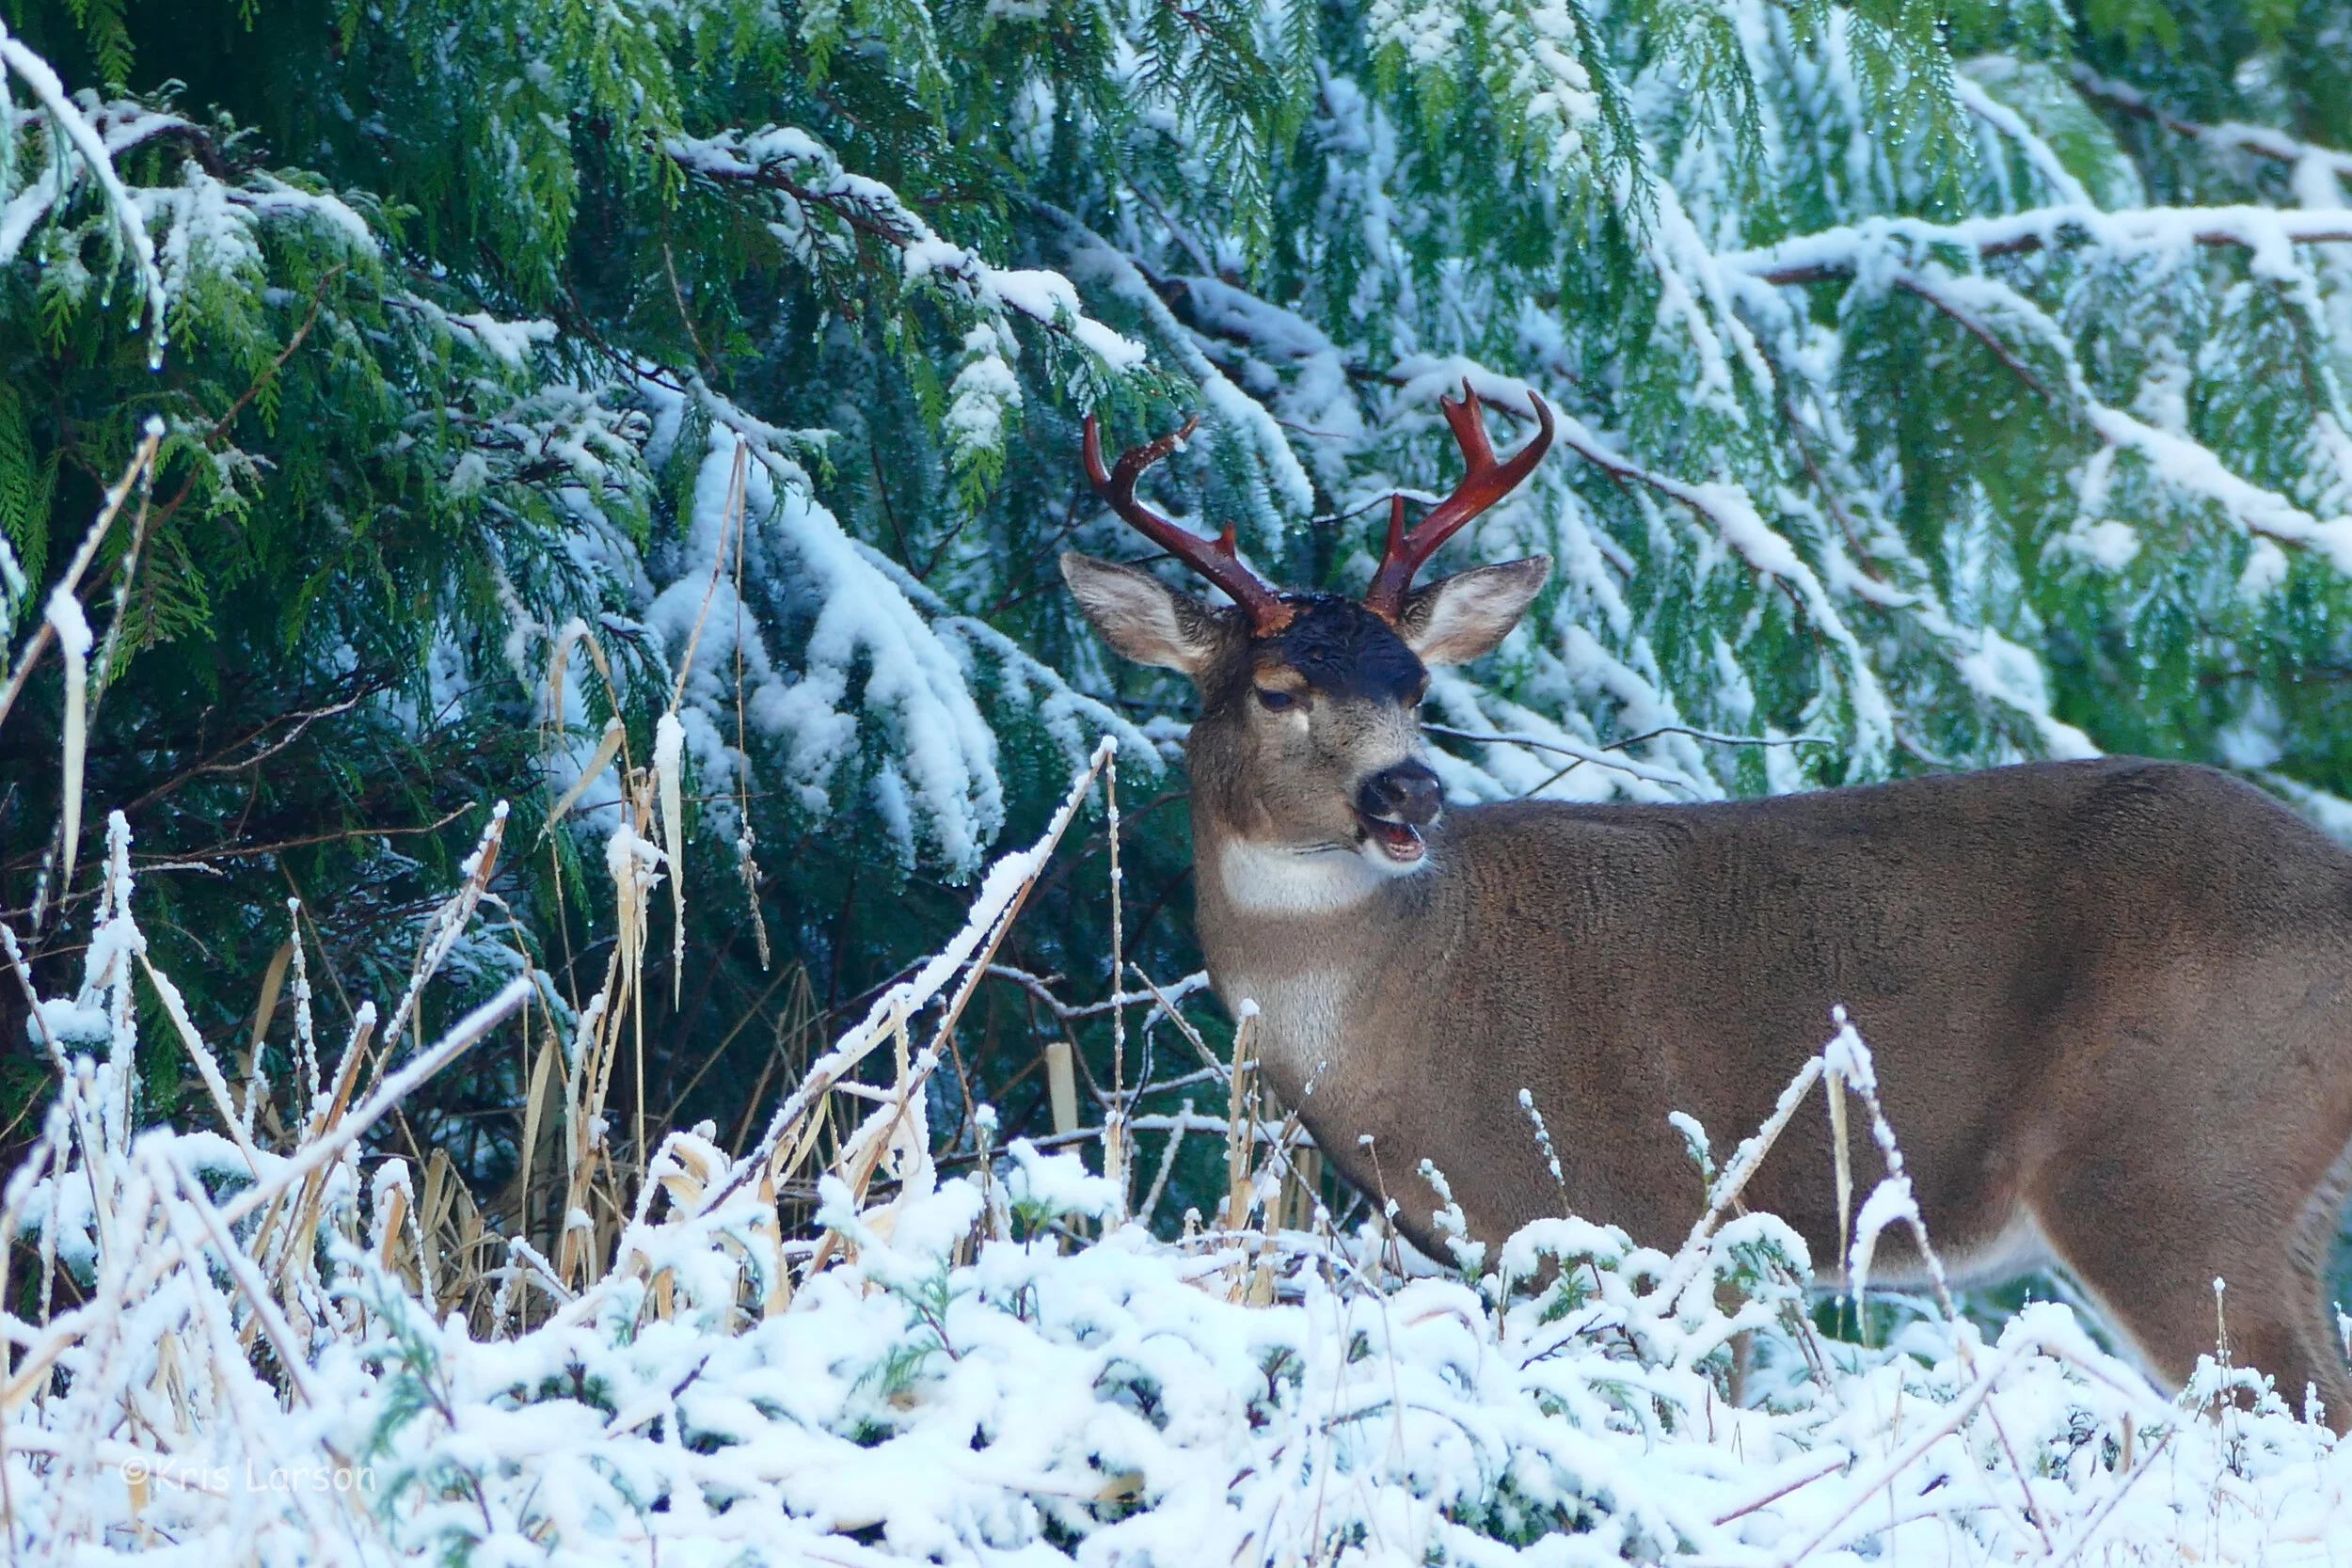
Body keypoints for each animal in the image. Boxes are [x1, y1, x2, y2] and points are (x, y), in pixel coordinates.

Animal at [1061, 384, 2352, 1425]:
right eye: (1277, 687)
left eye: (1415, 684)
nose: (1407, 788)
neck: (1413, 995)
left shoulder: (1656, 1205)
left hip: (2171, 1164)